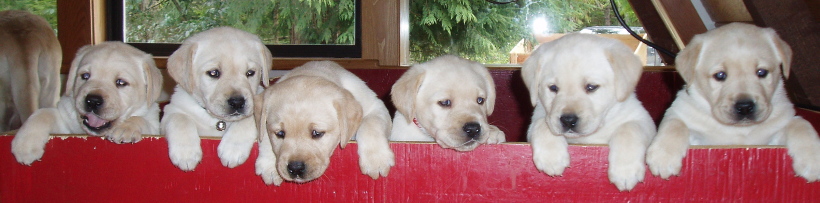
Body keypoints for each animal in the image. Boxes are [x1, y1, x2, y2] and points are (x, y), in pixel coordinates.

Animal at [12, 42, 163, 164]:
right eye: (85, 76)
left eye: (121, 82)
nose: (93, 101)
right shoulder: (65, 122)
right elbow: (42, 113)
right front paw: (25, 145)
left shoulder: (154, 126)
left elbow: (140, 119)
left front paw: (126, 127)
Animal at [162, 27, 270, 171]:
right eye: (213, 73)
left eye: (250, 73)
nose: (237, 102)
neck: (219, 122)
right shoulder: (169, 112)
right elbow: (179, 118)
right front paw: (186, 153)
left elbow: (249, 118)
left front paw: (233, 149)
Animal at [258, 61, 396, 185]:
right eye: (280, 133)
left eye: (317, 133)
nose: (295, 168)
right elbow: (263, 135)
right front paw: (269, 166)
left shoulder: (376, 107)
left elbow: (370, 124)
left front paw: (376, 159)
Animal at [524, 33, 652, 190]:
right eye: (553, 88)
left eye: (591, 87)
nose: (568, 120)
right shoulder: (535, 122)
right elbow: (541, 123)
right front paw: (551, 157)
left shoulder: (644, 120)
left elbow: (629, 128)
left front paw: (626, 170)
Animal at [648, 23, 820, 182]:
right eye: (720, 75)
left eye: (762, 72)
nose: (745, 107)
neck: (738, 130)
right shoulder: (688, 124)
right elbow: (674, 124)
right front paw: (663, 157)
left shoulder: (775, 133)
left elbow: (801, 124)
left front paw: (813, 159)